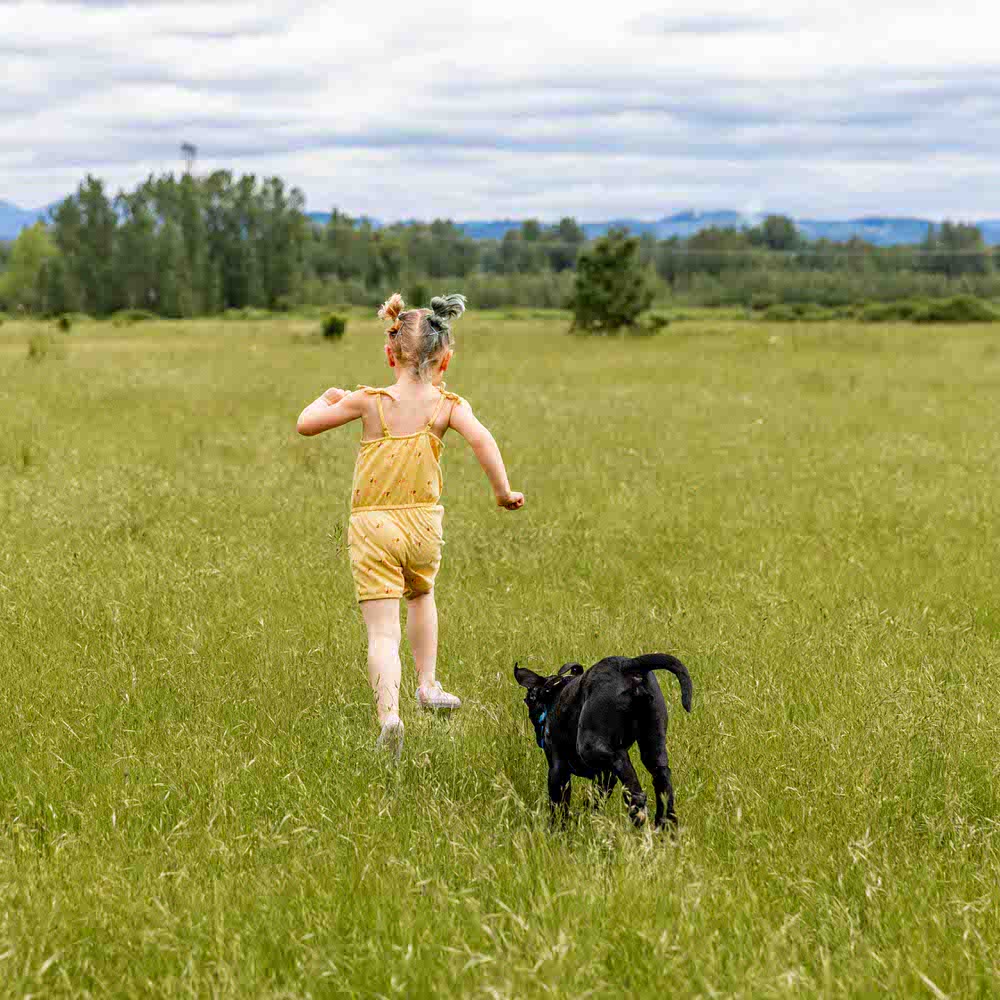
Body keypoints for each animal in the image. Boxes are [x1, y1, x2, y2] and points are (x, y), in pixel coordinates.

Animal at [512, 656, 692, 828]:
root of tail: (627, 665)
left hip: (590, 747)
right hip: (653, 747)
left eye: (528, 699)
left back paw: (638, 813)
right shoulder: (605, 776)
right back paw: (665, 824)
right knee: (663, 782)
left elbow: (559, 808)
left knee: (627, 772)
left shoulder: (558, 771)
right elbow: (595, 802)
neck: (553, 693)